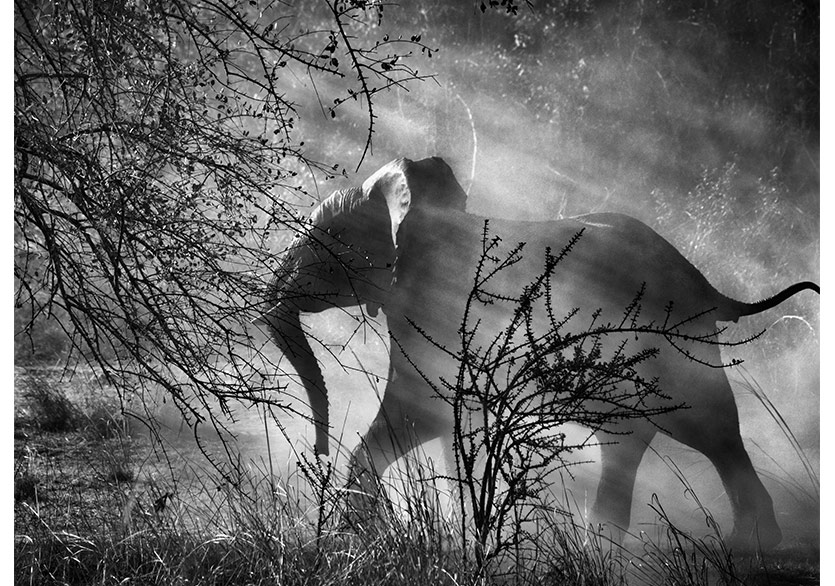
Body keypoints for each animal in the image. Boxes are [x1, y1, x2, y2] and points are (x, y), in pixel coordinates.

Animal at [264, 155, 820, 548]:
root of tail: (707, 284)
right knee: (639, 435)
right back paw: (614, 546)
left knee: (706, 424)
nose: (315, 450)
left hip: (673, 340)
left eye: (323, 239)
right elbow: (448, 421)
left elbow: (420, 410)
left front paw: (356, 534)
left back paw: (746, 543)